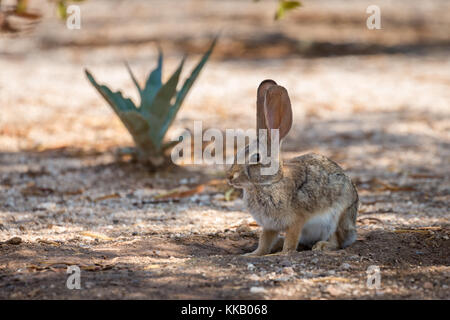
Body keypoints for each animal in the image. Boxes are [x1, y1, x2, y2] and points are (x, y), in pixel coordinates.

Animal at [227, 79, 360, 255]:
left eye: (257, 157)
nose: (229, 176)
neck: (270, 182)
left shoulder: (296, 220)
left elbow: (291, 239)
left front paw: (284, 253)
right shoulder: (269, 225)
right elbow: (264, 241)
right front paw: (253, 254)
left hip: (338, 217)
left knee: (337, 241)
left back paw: (322, 246)